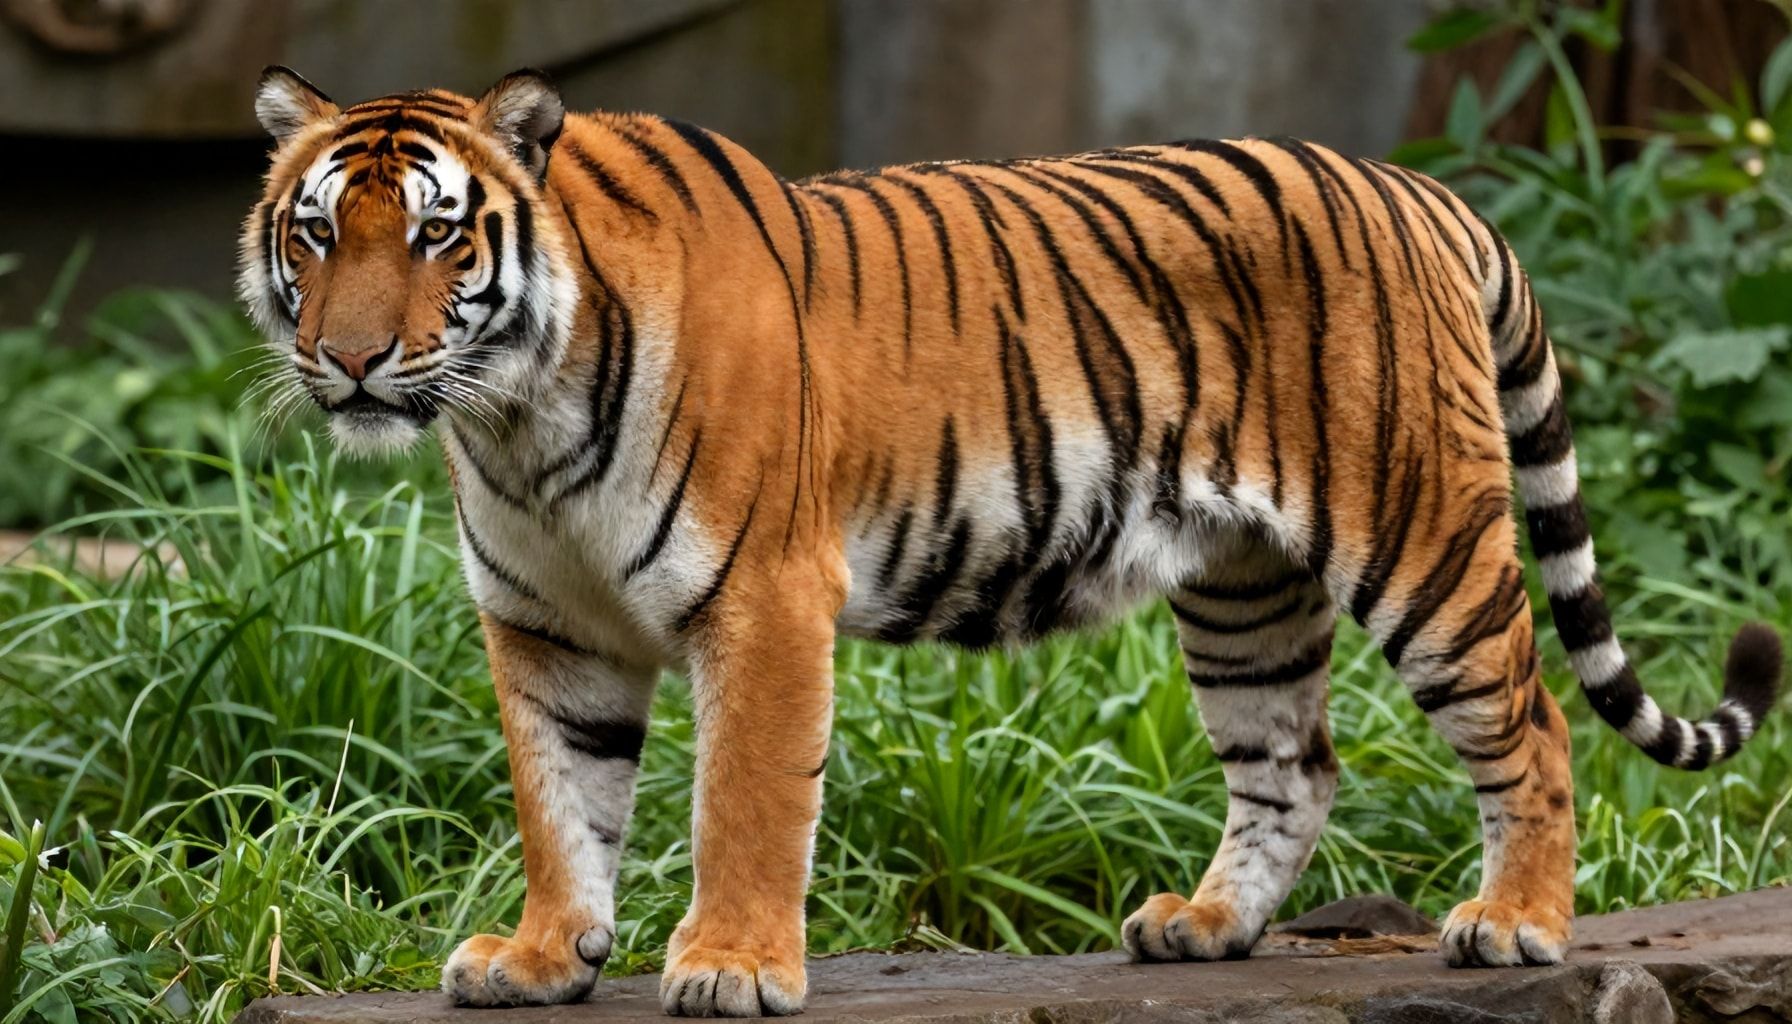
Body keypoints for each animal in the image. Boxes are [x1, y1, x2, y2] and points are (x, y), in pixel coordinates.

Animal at [238, 66, 1782, 1015]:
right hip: (1245, 590)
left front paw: (732, 964)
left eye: (438, 238)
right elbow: (561, 804)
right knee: (1294, 763)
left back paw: (1515, 923)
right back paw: (1205, 928)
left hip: (1423, 538)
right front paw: (546, 955)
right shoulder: (548, 627)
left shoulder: (764, 599)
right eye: (314, 236)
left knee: (1534, 723)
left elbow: (745, 800)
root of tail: (1424, 189)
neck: (517, 418)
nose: (353, 363)